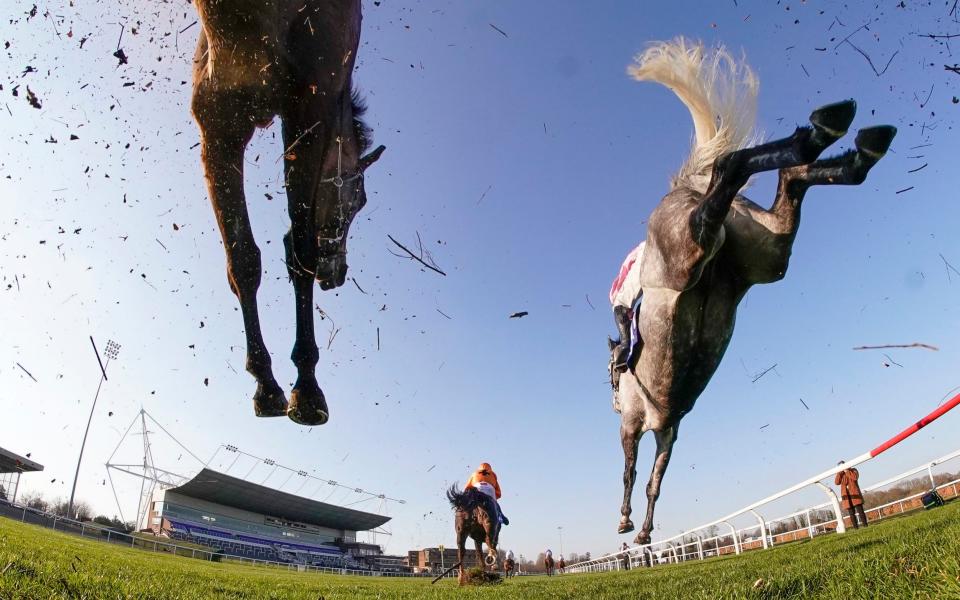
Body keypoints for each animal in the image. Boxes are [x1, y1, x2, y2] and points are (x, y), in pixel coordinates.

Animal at [191, 0, 386, 426]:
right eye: (359, 201)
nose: (339, 274)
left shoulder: (227, 118)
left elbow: (245, 259)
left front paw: (269, 382)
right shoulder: (291, 111)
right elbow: (289, 254)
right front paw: (301, 386)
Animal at [612, 36, 896, 544]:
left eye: (611, 378)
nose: (609, 394)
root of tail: (686, 185)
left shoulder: (635, 423)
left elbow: (632, 472)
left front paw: (627, 522)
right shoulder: (669, 431)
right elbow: (654, 482)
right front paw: (643, 530)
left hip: (688, 251)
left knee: (728, 170)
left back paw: (822, 134)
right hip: (769, 255)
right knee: (790, 179)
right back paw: (844, 144)